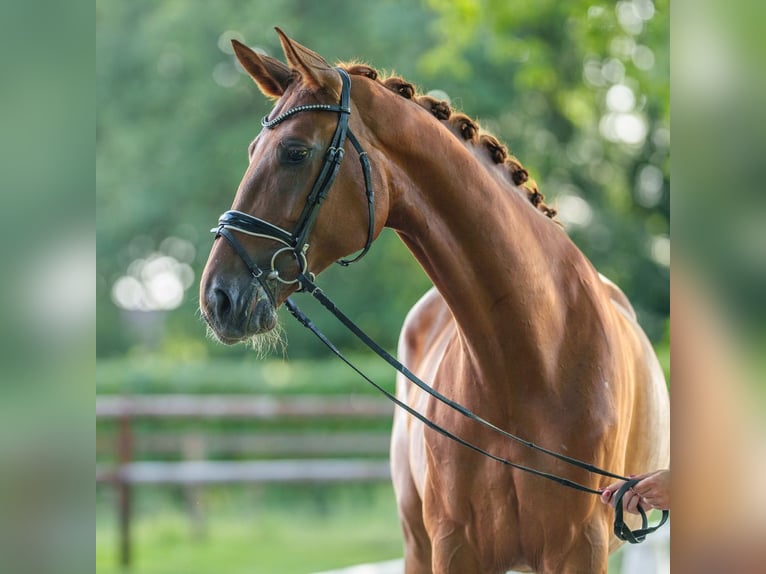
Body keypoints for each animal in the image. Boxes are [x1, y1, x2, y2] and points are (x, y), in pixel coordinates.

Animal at [200, 30, 672, 574]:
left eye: (294, 152)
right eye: (253, 149)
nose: (218, 297)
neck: (533, 361)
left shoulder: (579, 549)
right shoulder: (453, 545)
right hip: (416, 543)